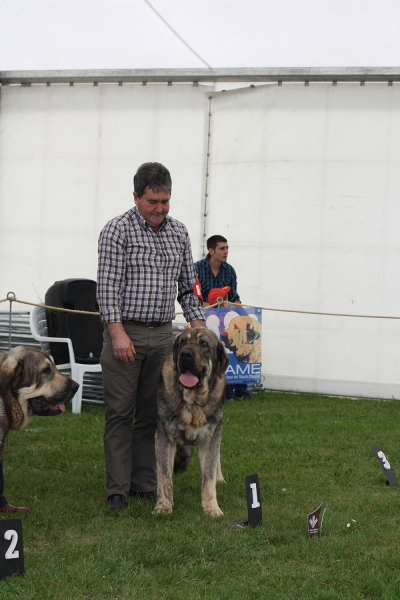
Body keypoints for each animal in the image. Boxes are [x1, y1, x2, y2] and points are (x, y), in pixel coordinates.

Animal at [153, 326, 228, 516]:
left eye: (203, 343)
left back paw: (219, 478)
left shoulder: (211, 436)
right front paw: (164, 506)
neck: (193, 403)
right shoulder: (164, 436)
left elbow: (208, 476)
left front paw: (211, 507)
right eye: (183, 342)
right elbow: (164, 475)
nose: (185, 354)